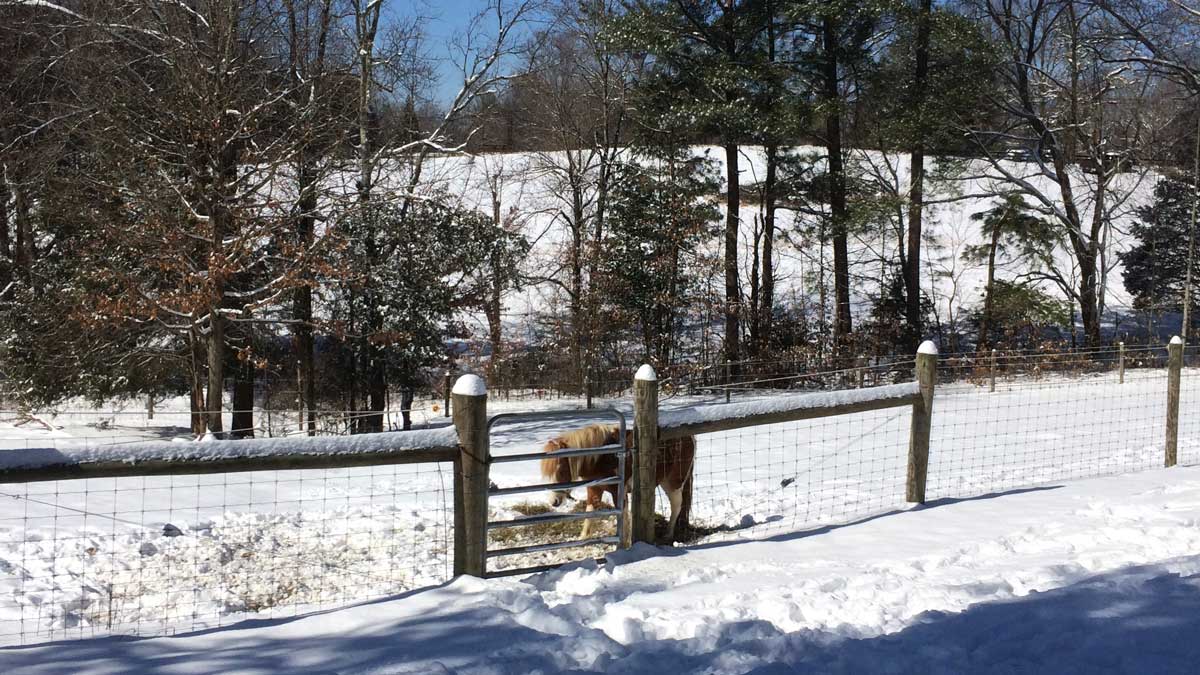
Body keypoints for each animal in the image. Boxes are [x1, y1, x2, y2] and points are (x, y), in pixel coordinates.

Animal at [542, 422, 700, 542]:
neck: (603, 457)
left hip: (673, 482)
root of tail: (689, 436)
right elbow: (590, 512)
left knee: (676, 505)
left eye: (561, 470)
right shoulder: (594, 489)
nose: (554, 501)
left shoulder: (619, 492)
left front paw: (625, 543)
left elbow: (623, 515)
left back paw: (668, 534)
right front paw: (583, 538)